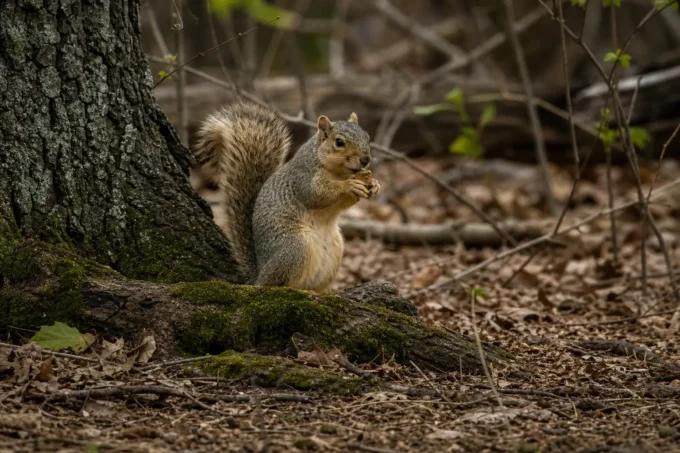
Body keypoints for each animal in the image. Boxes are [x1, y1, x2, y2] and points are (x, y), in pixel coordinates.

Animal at [194, 101, 380, 292]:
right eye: (339, 142)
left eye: (367, 137)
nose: (365, 159)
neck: (338, 172)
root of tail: (260, 274)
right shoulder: (303, 178)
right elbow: (316, 194)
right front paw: (348, 185)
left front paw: (374, 185)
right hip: (295, 246)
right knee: (279, 283)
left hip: (335, 250)